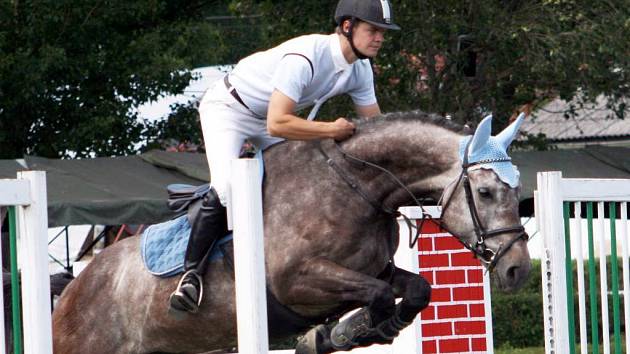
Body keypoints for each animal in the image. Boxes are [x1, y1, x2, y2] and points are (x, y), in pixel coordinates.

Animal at [51, 111, 532, 354]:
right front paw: (348, 332)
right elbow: (376, 295)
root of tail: (72, 289)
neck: (354, 184)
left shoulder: (373, 268)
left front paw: (351, 331)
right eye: (485, 192)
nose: (518, 271)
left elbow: (415, 289)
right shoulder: (299, 281)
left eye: (518, 193)